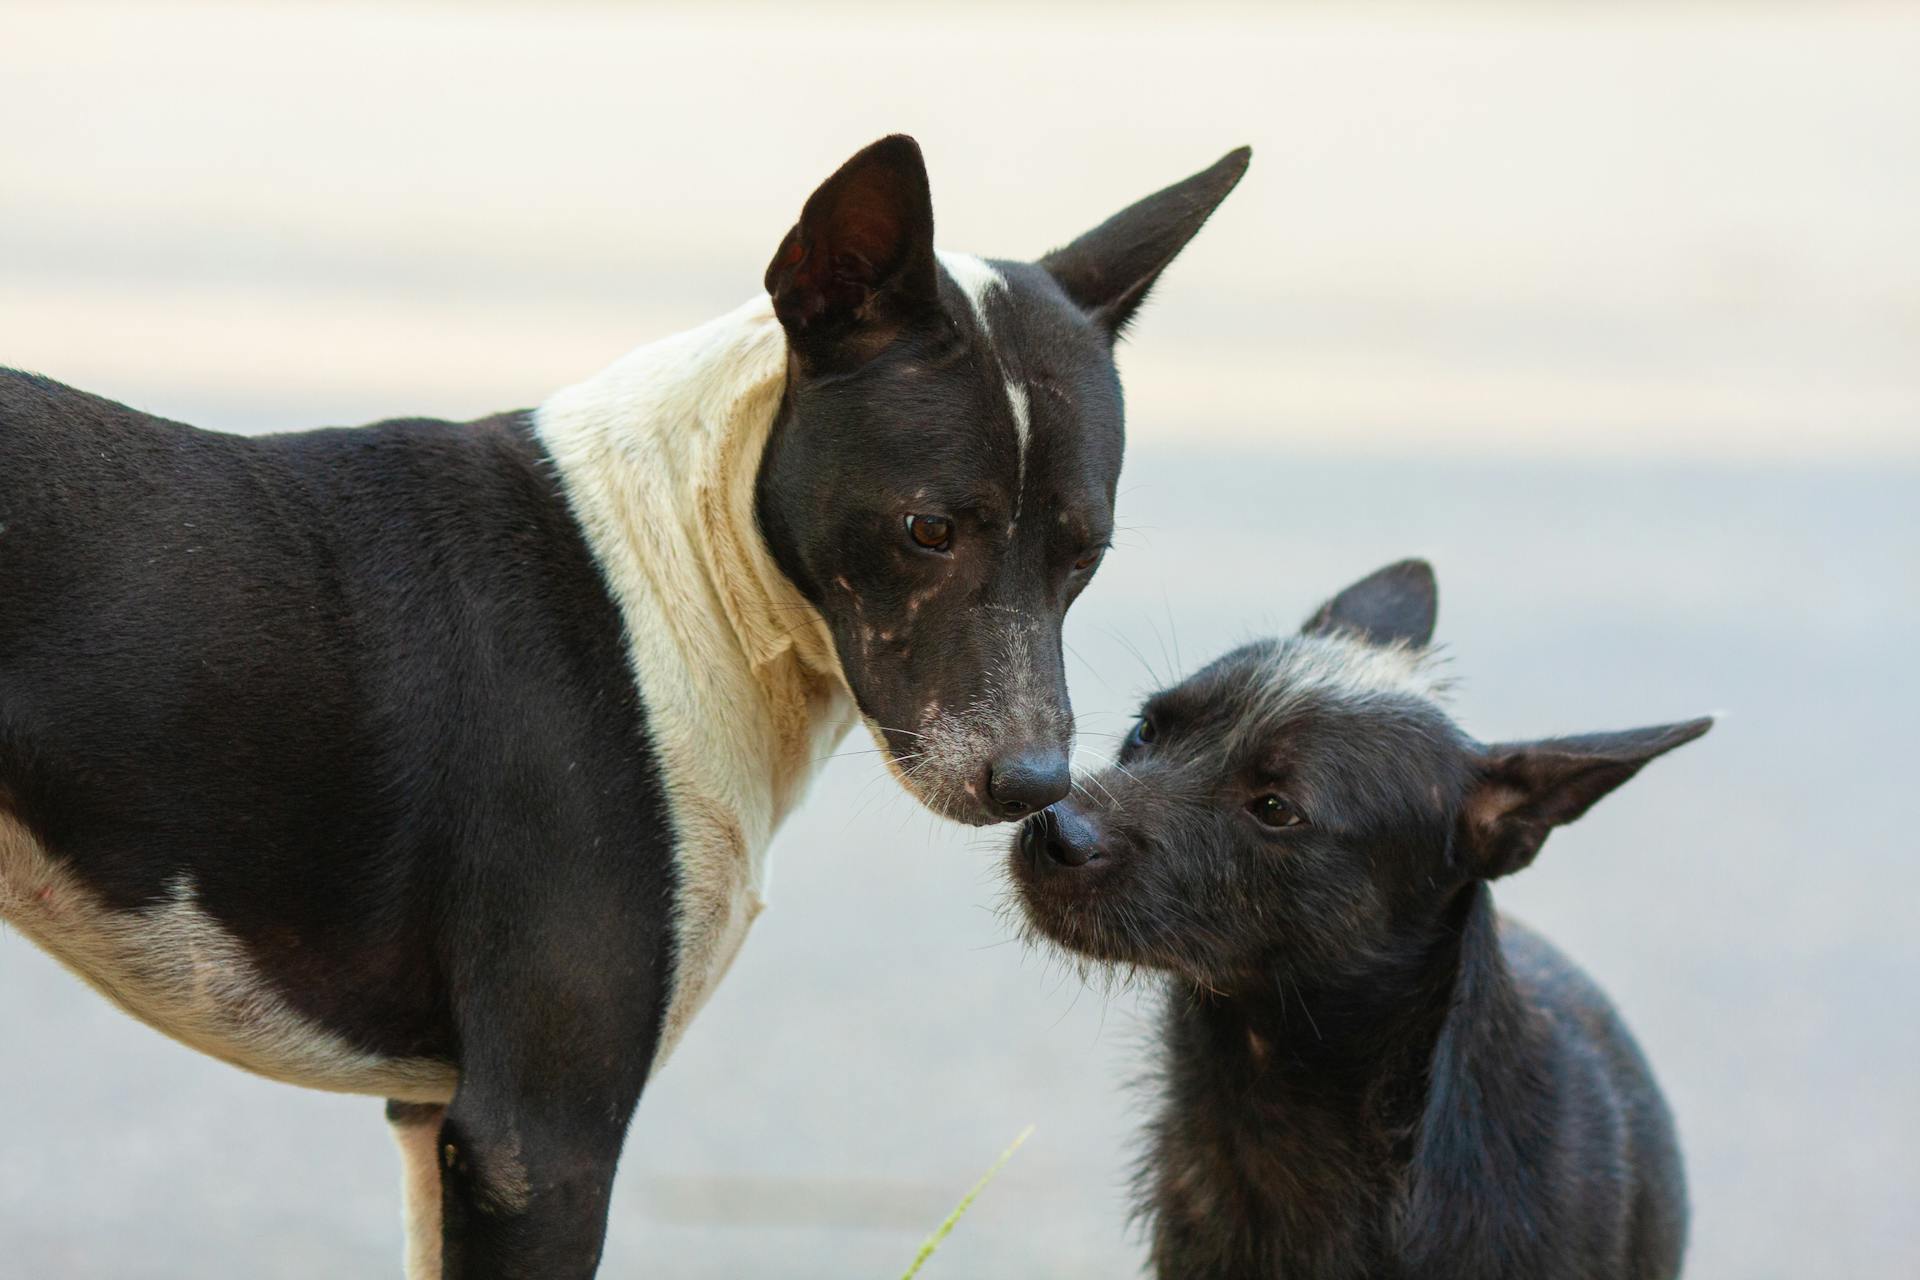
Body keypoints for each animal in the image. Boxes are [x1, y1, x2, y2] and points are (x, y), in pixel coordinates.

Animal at [0, 135, 1251, 1274]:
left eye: (1083, 552)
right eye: (928, 529)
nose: (1035, 785)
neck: (685, 568)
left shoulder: (437, 1124)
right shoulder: (537, 1145)